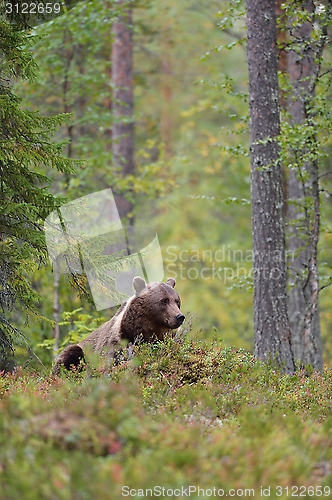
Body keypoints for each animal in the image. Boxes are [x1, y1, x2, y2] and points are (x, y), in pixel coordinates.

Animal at [52, 278, 184, 376]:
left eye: (177, 301)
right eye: (164, 301)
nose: (179, 317)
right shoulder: (116, 342)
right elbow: (112, 361)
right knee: (70, 353)